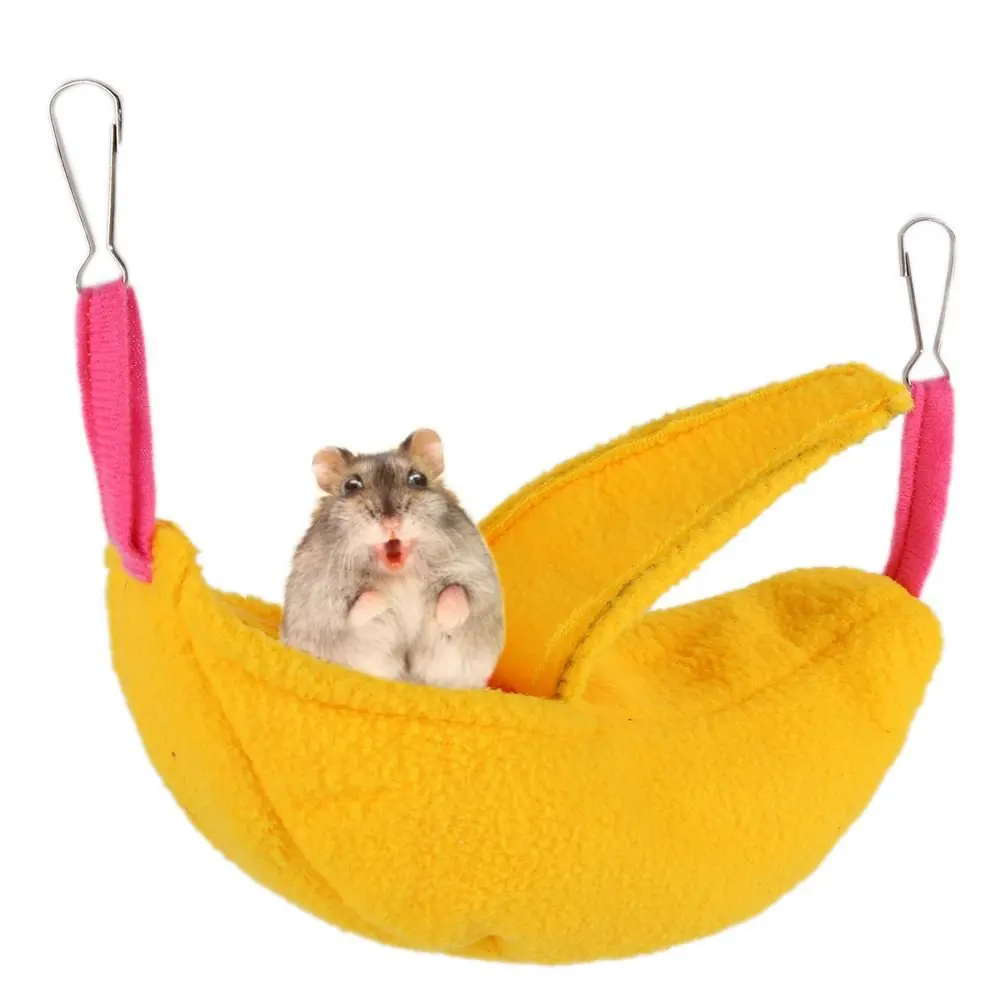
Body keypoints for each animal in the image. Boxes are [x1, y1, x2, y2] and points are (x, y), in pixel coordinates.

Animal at [280, 429, 505, 689]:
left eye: (418, 479)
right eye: (351, 485)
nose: (391, 522)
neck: (399, 573)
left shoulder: (478, 581)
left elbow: (457, 593)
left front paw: (445, 614)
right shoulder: (324, 603)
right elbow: (359, 606)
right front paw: (387, 597)